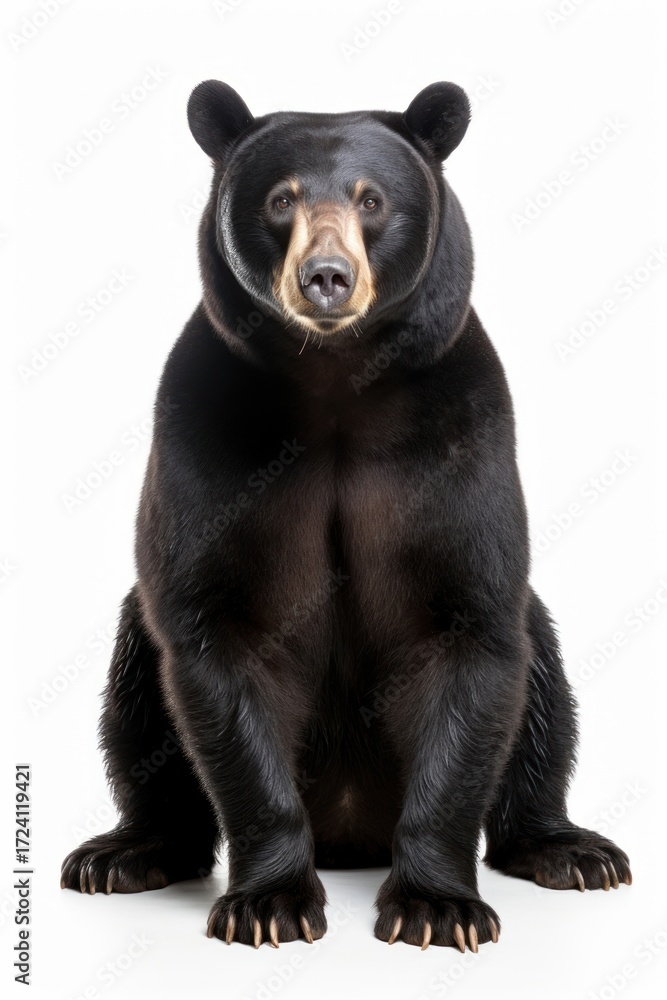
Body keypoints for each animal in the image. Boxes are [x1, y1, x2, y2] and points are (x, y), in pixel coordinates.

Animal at [61, 80, 631, 950]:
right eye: (280, 198)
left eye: (371, 199)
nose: (325, 276)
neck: (334, 381)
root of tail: (351, 832)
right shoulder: (207, 437)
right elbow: (217, 636)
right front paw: (268, 902)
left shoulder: (458, 439)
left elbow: (469, 634)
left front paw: (436, 905)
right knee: (135, 691)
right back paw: (124, 852)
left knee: (542, 690)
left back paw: (569, 848)